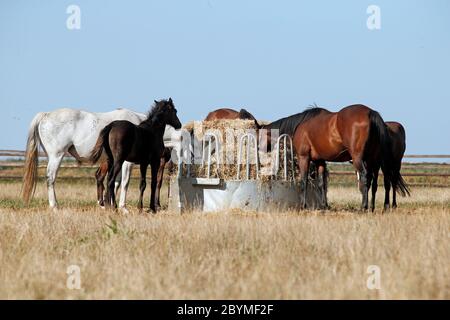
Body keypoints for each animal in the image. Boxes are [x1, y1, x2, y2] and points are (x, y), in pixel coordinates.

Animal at [262, 104, 410, 211]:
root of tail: (370, 112)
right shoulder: (320, 160)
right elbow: (321, 183)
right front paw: (324, 206)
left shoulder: (304, 157)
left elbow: (304, 181)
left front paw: (303, 206)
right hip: (373, 160)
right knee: (376, 182)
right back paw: (373, 207)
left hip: (360, 159)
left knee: (366, 178)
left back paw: (364, 207)